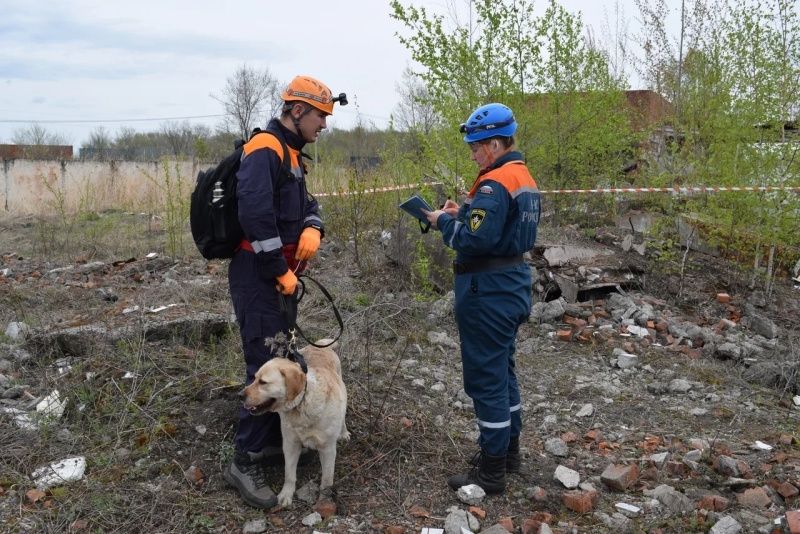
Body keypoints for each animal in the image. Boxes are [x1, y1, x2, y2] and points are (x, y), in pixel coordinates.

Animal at [239, 342, 348, 508]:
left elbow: (327, 479)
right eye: (254, 378)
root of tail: (319, 345)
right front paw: (286, 494)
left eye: (263, 382)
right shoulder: (290, 444)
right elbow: (289, 474)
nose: (239, 396)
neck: (302, 404)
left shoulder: (328, 449)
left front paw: (325, 500)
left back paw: (344, 432)